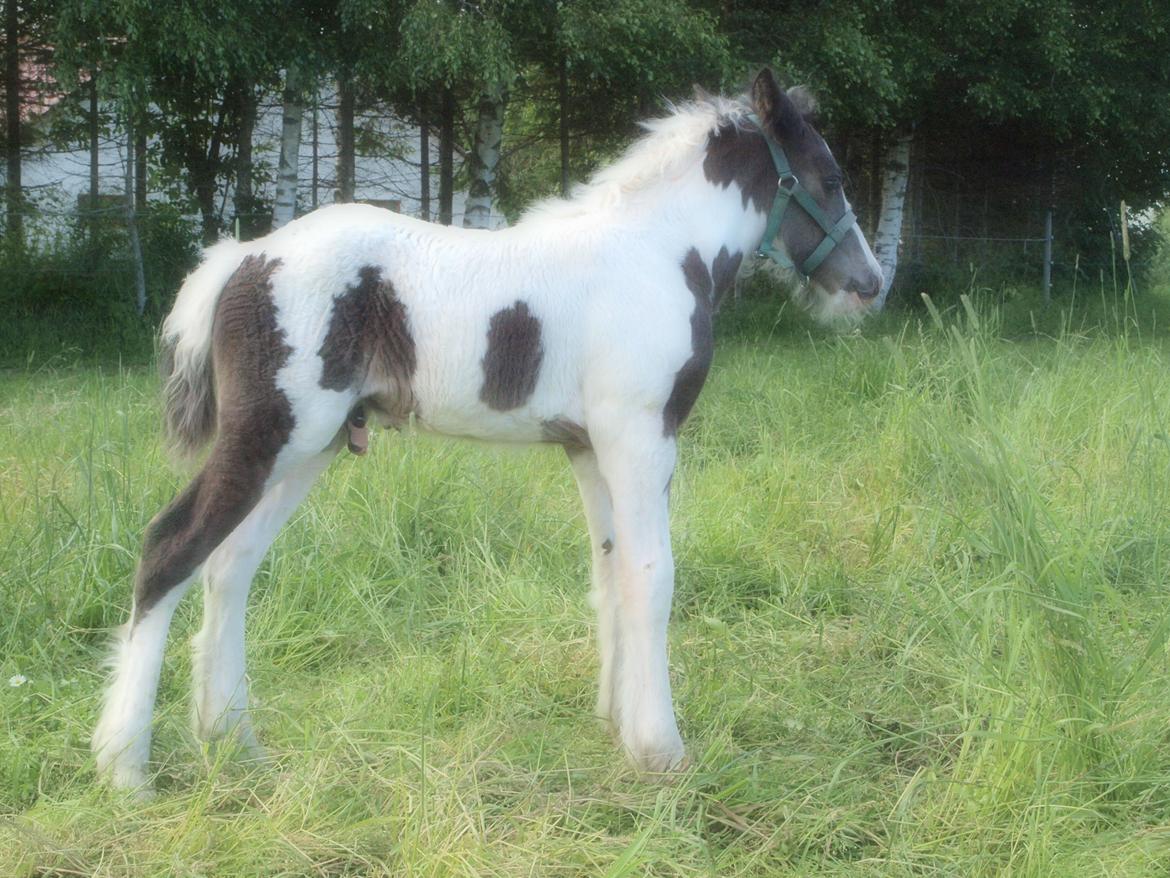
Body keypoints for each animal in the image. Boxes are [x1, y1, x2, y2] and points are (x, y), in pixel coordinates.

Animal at [93, 72, 879, 796]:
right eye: (830, 178)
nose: (869, 282)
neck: (659, 254)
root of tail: (243, 258)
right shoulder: (641, 436)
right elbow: (653, 575)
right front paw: (661, 750)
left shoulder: (590, 447)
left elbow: (610, 572)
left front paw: (616, 728)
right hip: (271, 434)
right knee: (171, 547)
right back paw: (126, 768)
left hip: (308, 448)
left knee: (231, 563)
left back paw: (233, 741)